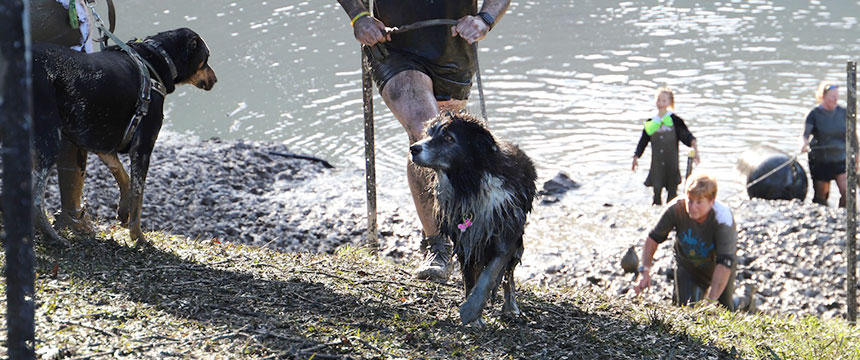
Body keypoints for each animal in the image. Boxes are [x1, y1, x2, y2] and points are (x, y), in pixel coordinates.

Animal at [33, 28, 215, 246]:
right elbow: (138, 197)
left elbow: (124, 176)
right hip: (49, 142)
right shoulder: (141, 148)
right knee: (35, 199)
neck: (156, 60)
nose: (215, 80)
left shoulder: (102, 143)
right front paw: (138, 237)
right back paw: (52, 237)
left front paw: (123, 210)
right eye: (206, 59)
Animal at [406, 112, 536, 324]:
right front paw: (474, 315)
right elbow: (470, 277)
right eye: (429, 133)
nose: (414, 148)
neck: (468, 183)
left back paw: (511, 306)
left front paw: (471, 310)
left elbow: (490, 274)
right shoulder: (465, 237)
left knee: (509, 275)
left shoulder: (505, 231)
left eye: (448, 138)